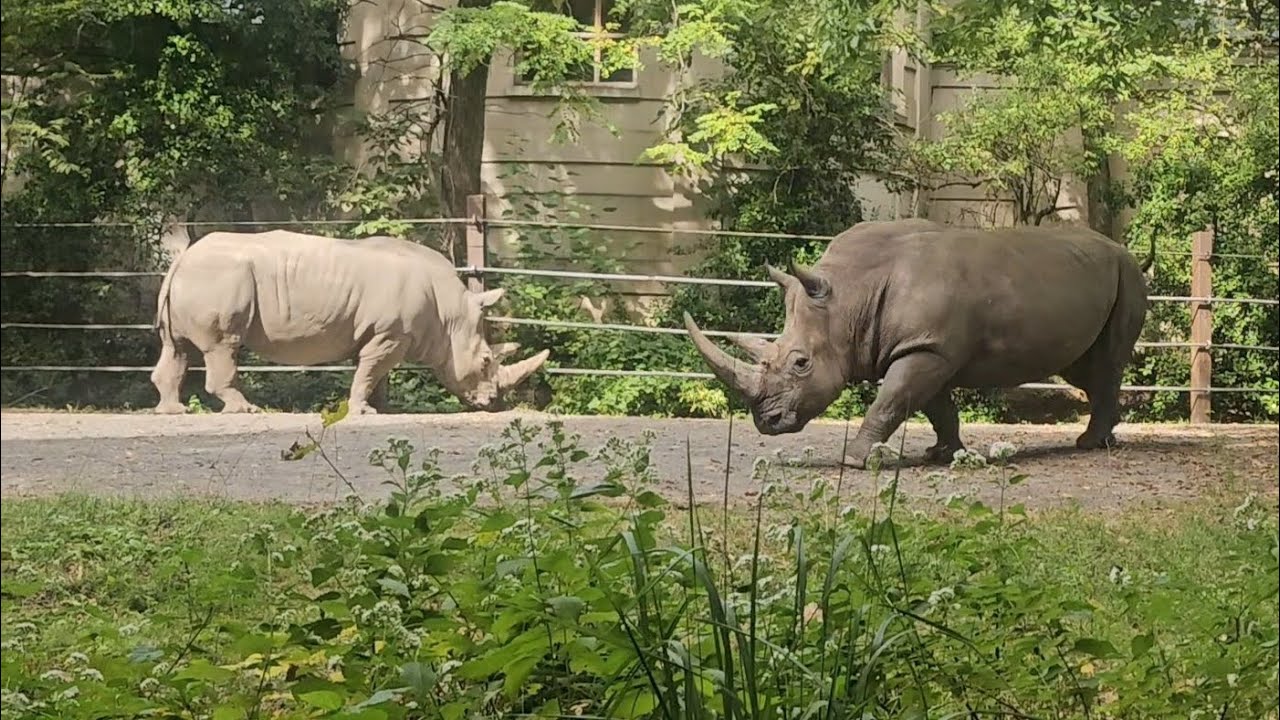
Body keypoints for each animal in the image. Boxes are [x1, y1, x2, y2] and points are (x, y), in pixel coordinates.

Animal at [150, 224, 549, 415]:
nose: (492, 402)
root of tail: (181, 259)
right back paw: (245, 409)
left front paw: (383, 408)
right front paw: (364, 410)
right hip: (218, 280)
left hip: (198, 281)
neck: (451, 317)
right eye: (485, 362)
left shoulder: (386, 333)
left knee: (177, 347)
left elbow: (376, 373)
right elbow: (370, 371)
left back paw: (173, 411)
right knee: (222, 346)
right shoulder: (390, 334)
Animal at [683, 219, 1151, 468]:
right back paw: (1102, 438)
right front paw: (942, 454)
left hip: (1127, 273)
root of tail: (1122, 247)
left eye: (800, 364)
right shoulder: (927, 347)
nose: (767, 422)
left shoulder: (926, 348)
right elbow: (933, 406)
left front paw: (855, 460)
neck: (849, 295)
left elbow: (890, 401)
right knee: (1082, 368)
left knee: (1106, 363)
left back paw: (1090, 445)